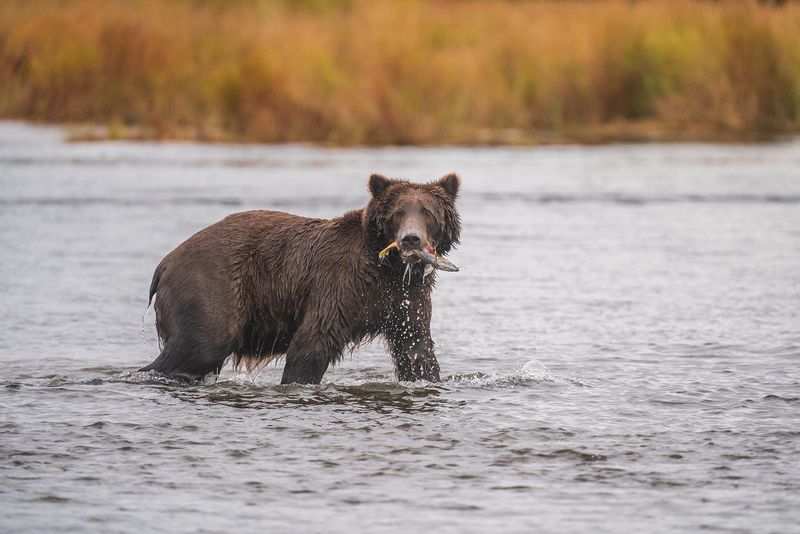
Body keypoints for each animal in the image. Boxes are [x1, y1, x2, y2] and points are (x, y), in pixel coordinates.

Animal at [141, 175, 460, 386]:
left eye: (427, 212)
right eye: (397, 213)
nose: (411, 239)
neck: (385, 268)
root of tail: (166, 262)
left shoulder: (404, 298)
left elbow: (415, 347)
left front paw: (427, 376)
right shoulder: (339, 285)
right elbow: (312, 342)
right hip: (212, 285)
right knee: (201, 344)